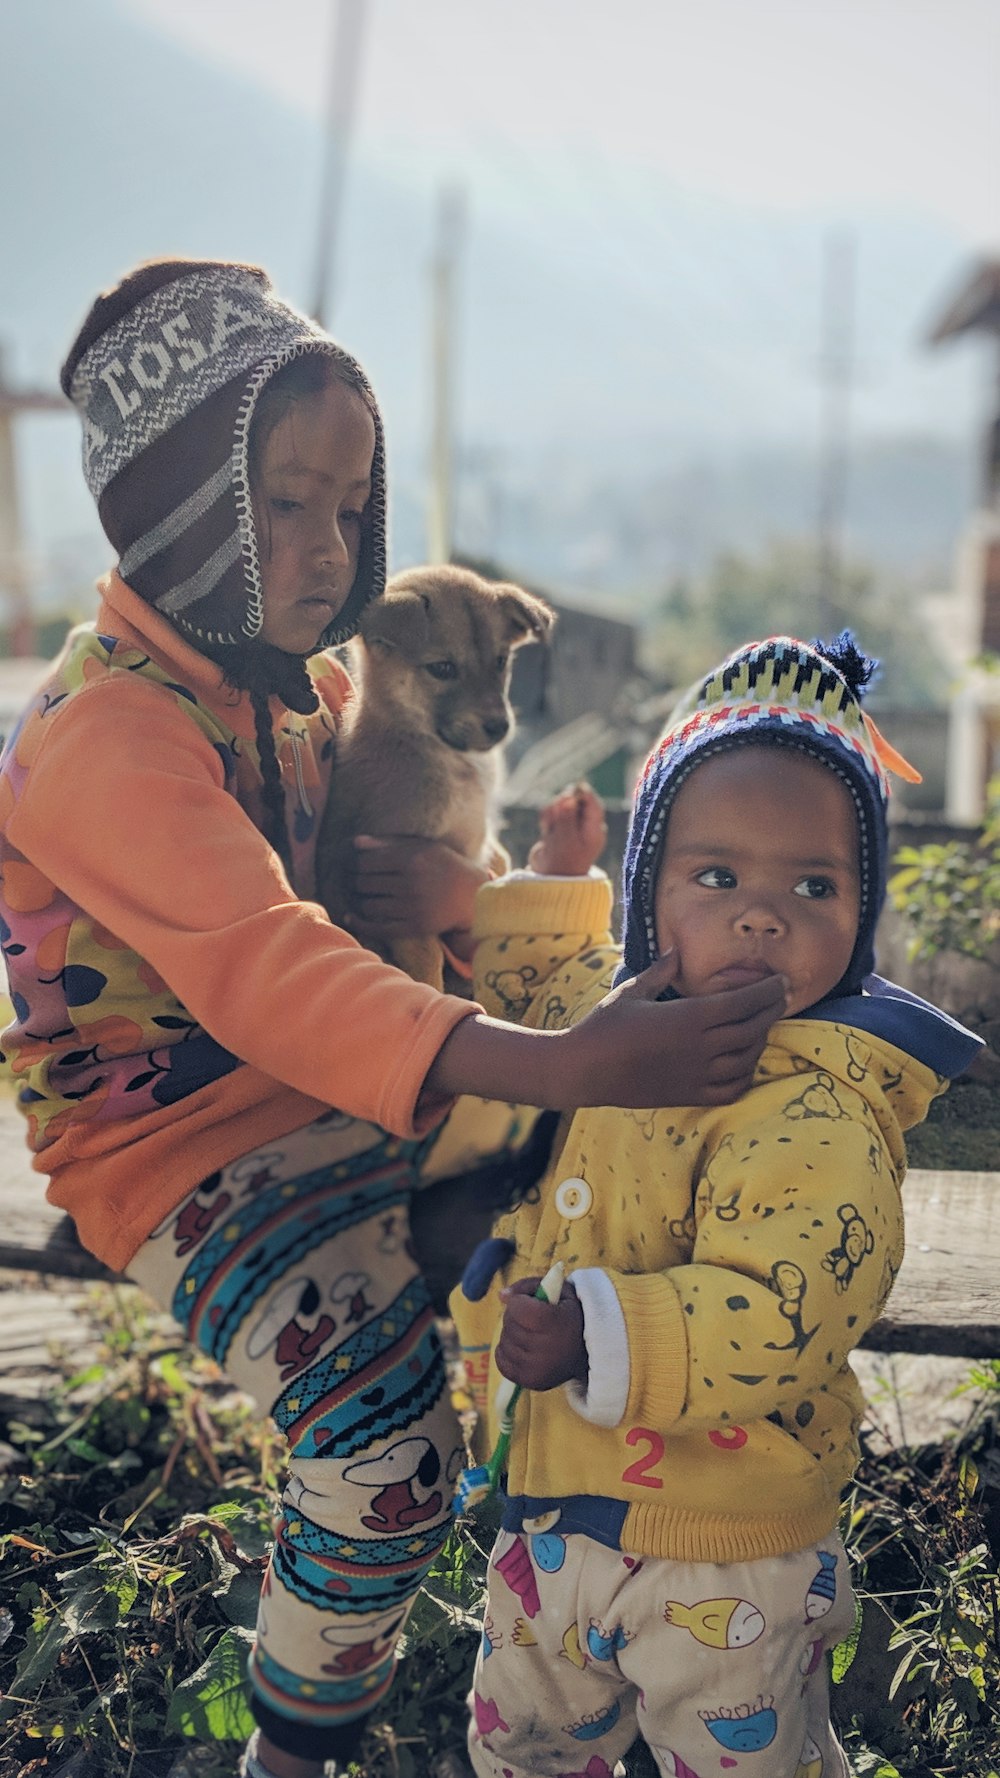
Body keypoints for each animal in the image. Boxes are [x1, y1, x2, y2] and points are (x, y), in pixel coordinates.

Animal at [318, 561, 551, 988]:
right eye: (442, 668)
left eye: (500, 661)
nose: (499, 727)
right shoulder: (403, 913)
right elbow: (428, 971)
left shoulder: (480, 838)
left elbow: (498, 858)